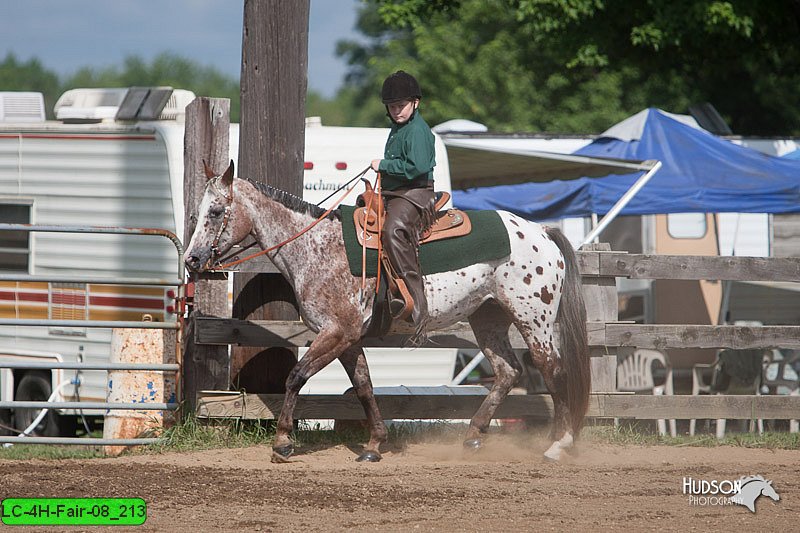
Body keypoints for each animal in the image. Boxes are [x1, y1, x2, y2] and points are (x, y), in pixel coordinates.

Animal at [184, 161, 592, 462]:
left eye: (216, 211)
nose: (192, 259)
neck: (316, 247)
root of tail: (542, 232)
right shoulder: (348, 338)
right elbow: (363, 386)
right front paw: (374, 444)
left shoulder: (337, 331)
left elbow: (296, 376)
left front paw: (283, 442)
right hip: (488, 317)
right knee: (509, 371)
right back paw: (474, 436)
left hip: (534, 318)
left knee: (553, 370)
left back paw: (559, 444)